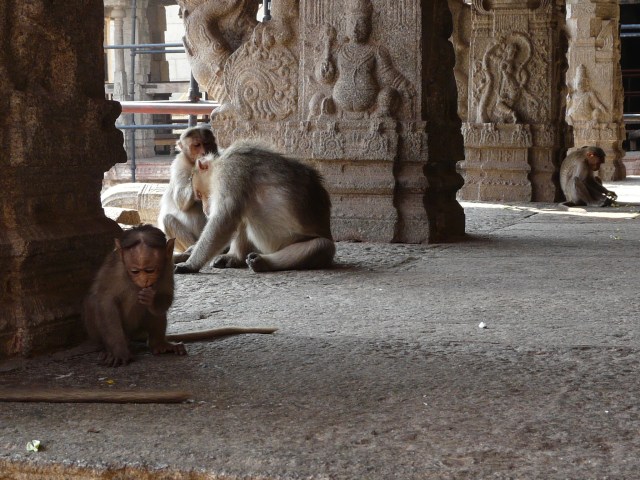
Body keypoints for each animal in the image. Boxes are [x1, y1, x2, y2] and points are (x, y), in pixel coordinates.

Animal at [157, 126, 217, 259]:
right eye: (196, 145)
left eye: (206, 143)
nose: (204, 152)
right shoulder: (178, 165)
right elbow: (180, 200)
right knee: (168, 219)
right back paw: (193, 248)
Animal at [173, 139, 335, 274]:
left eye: (199, 194)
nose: (205, 210)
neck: (221, 162)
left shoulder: (230, 173)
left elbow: (224, 219)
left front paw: (190, 264)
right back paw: (235, 257)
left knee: (321, 246)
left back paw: (263, 262)